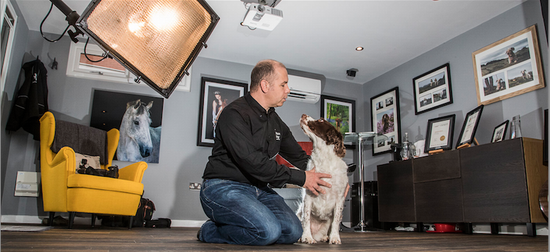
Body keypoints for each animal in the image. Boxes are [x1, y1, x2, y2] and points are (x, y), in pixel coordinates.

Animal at [298, 114, 350, 244]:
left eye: (321, 120)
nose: (303, 115)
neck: (324, 157)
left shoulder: (340, 198)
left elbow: (336, 221)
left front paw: (334, 238)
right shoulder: (308, 196)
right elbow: (306, 218)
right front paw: (307, 237)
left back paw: (325, 237)